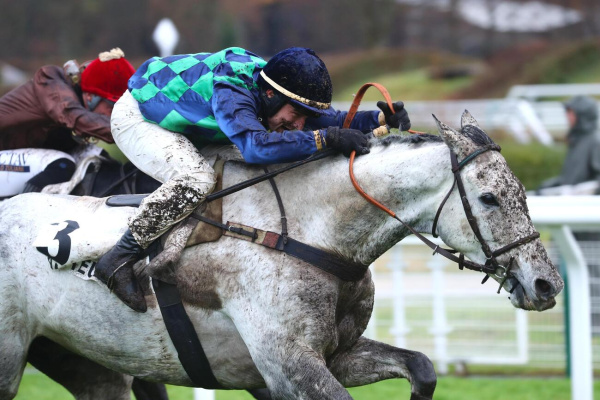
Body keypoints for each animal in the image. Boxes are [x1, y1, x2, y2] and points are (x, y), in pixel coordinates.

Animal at [0, 111, 563, 400]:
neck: (309, 232)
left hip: (85, 362)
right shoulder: (288, 364)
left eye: (522, 193)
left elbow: (421, 366)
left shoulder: (333, 354)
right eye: (489, 198)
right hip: (10, 359)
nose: (546, 284)